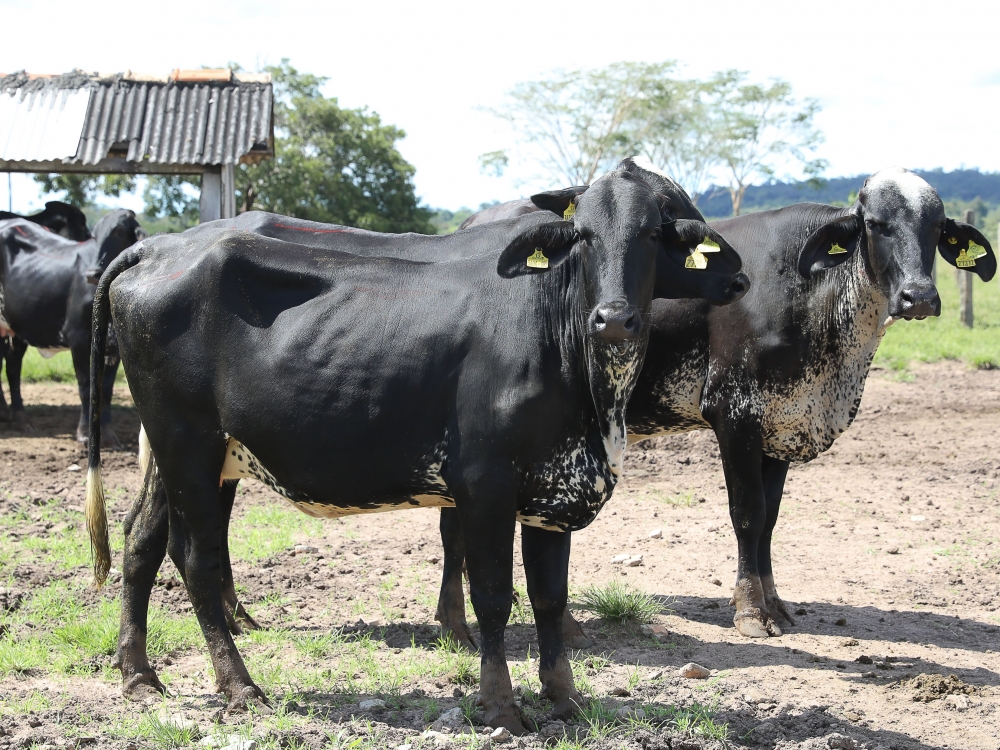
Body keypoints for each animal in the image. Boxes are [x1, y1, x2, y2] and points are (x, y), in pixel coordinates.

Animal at [82, 172, 744, 736]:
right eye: (583, 235)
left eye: (656, 232)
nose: (612, 318)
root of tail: (158, 249)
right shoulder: (485, 486)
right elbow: (494, 598)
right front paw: (501, 706)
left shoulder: (554, 490)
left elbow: (550, 601)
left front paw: (565, 699)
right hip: (187, 444)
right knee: (197, 560)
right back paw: (240, 687)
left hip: (188, 455)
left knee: (143, 541)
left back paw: (138, 675)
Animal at [434, 166, 996, 648]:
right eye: (876, 224)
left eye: (938, 228)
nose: (918, 297)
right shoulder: (735, 414)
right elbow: (747, 514)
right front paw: (750, 610)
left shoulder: (781, 425)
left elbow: (769, 520)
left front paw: (774, 603)